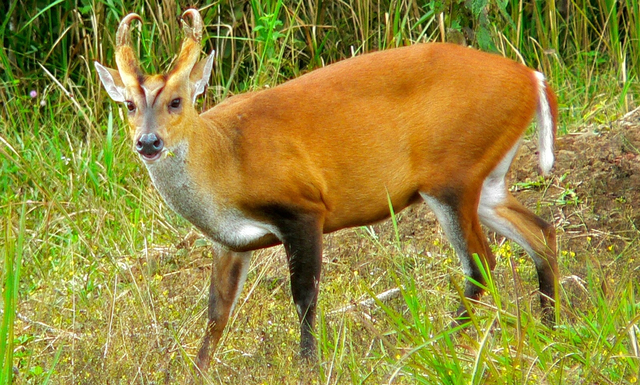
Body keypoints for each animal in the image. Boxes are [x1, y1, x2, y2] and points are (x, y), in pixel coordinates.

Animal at [96, 8, 560, 368]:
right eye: (129, 105)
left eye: (176, 101)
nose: (148, 143)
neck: (225, 159)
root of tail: (532, 77)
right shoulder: (230, 242)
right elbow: (216, 314)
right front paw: (199, 370)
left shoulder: (303, 207)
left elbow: (304, 295)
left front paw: (308, 364)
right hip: (486, 179)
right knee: (541, 231)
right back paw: (550, 329)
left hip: (452, 173)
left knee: (482, 262)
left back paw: (439, 345)